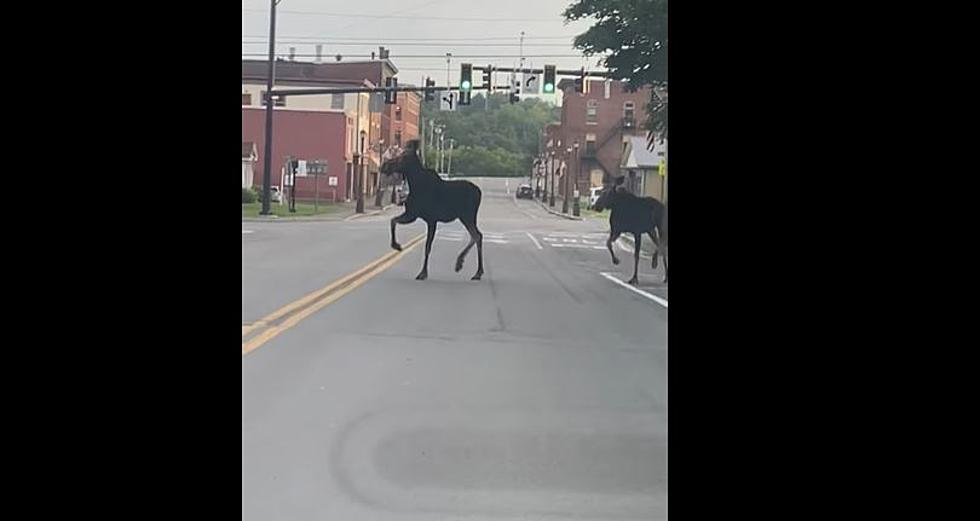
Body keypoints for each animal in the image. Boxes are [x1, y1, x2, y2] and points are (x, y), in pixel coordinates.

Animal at [378, 140, 484, 280]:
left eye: (403, 156)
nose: (384, 165)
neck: (415, 183)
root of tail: (479, 192)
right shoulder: (413, 215)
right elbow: (393, 221)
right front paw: (397, 245)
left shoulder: (425, 218)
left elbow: (427, 246)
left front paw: (422, 272)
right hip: (465, 217)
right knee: (476, 235)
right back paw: (467, 266)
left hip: (468, 216)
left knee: (477, 235)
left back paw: (473, 270)